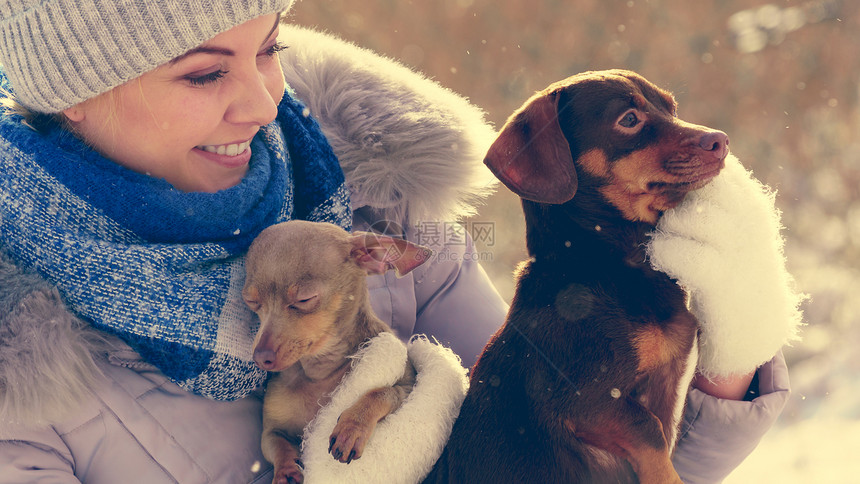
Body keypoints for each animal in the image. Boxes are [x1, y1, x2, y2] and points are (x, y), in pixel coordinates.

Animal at [240, 221, 430, 484]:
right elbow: (277, 445)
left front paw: (352, 427)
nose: (260, 357)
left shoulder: (410, 386)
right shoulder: (272, 430)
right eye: (251, 302)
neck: (320, 367)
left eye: (304, 299)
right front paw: (286, 471)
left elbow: (382, 392)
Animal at [422, 71, 724, 484]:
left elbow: (663, 432)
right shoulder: (587, 399)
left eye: (671, 108)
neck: (599, 263)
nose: (721, 141)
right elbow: (651, 433)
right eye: (629, 119)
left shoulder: (665, 384)